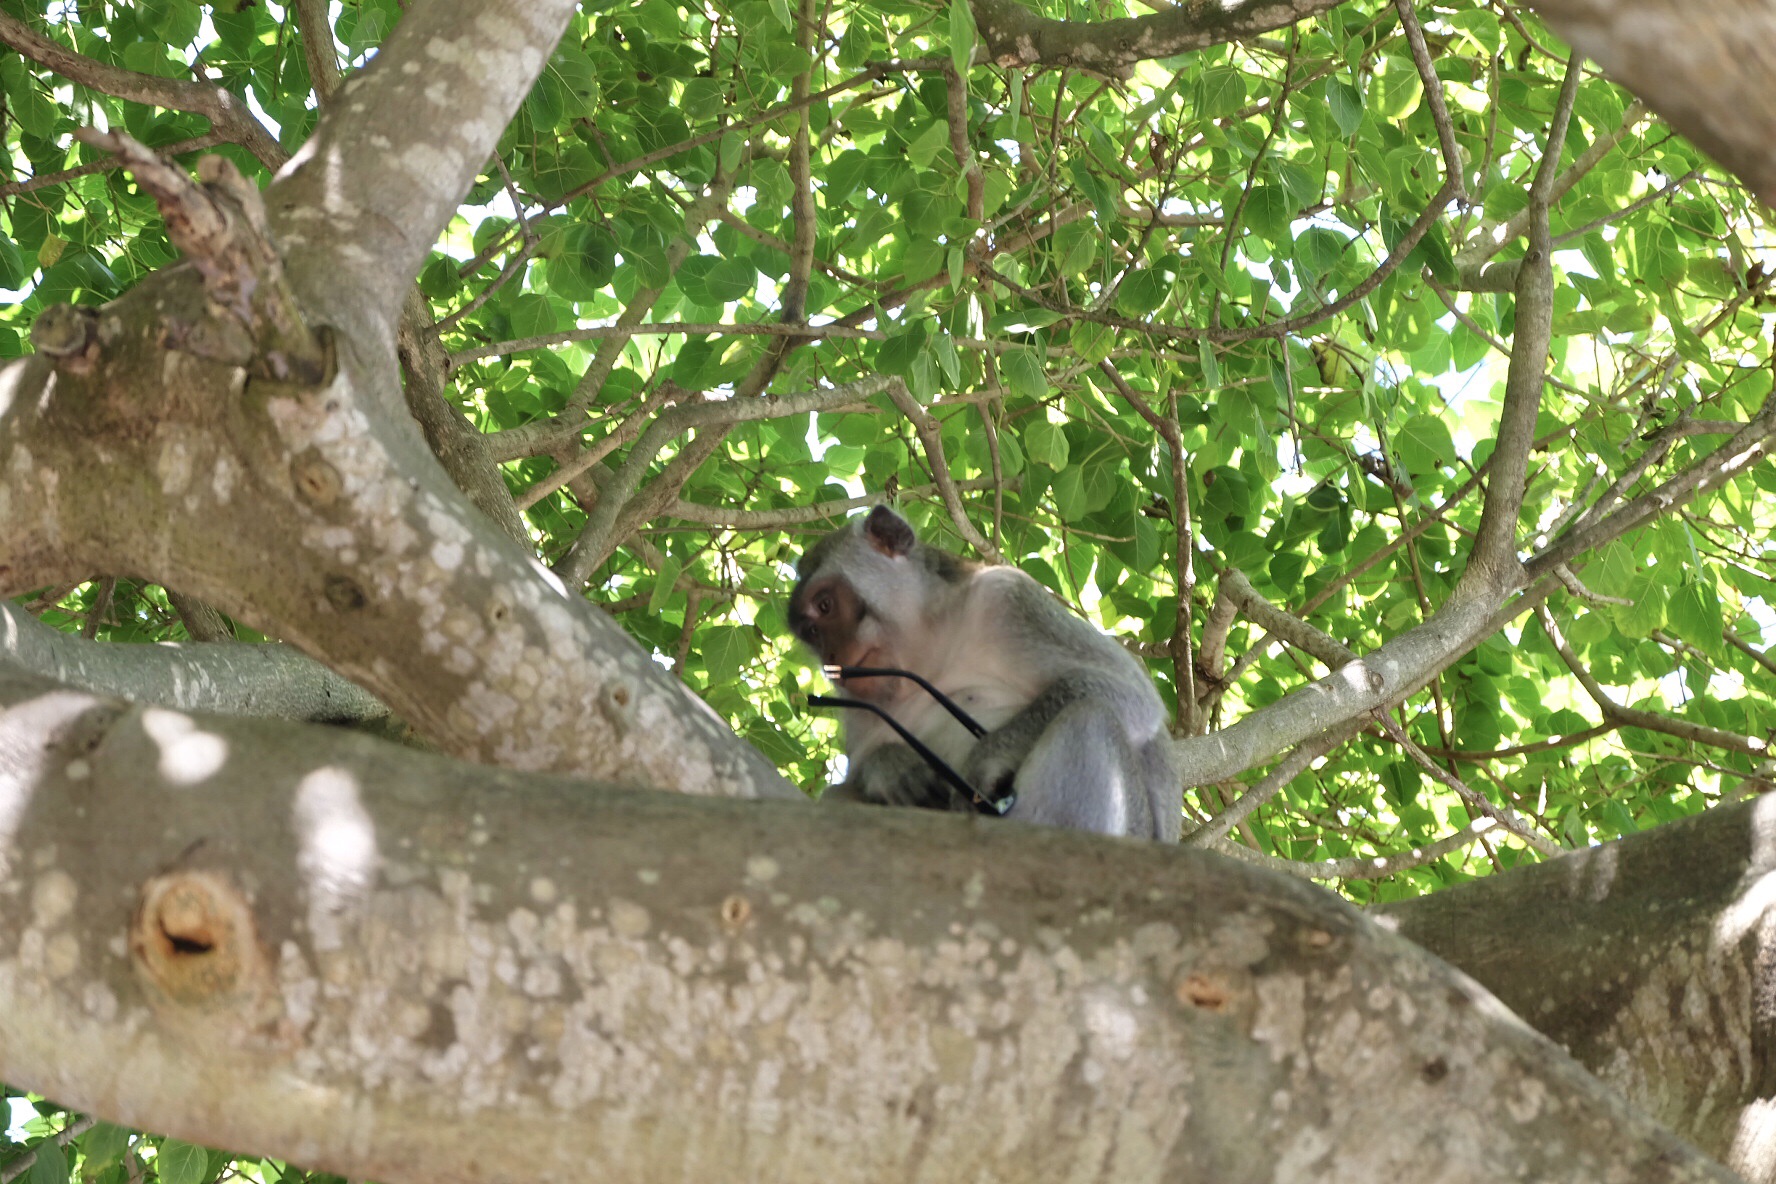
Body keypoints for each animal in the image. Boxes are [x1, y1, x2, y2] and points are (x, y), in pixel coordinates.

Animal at [788, 507, 1179, 841]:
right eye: (811, 632)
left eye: (825, 605)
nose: (831, 657)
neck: (930, 649)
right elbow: (859, 767)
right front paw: (891, 768)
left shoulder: (1009, 599)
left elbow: (1131, 694)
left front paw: (985, 761)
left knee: (1091, 716)